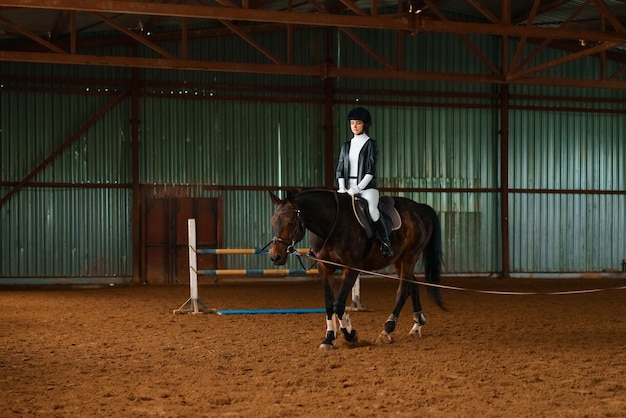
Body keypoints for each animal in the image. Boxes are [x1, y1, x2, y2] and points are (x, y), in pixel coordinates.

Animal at [268, 189, 444, 350]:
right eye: (273, 222)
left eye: (291, 223)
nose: (275, 257)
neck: (332, 224)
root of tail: (420, 208)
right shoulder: (325, 267)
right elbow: (329, 303)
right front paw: (329, 338)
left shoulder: (351, 267)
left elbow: (338, 304)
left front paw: (350, 334)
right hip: (398, 260)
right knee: (412, 285)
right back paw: (417, 325)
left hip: (410, 256)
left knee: (403, 289)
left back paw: (387, 329)